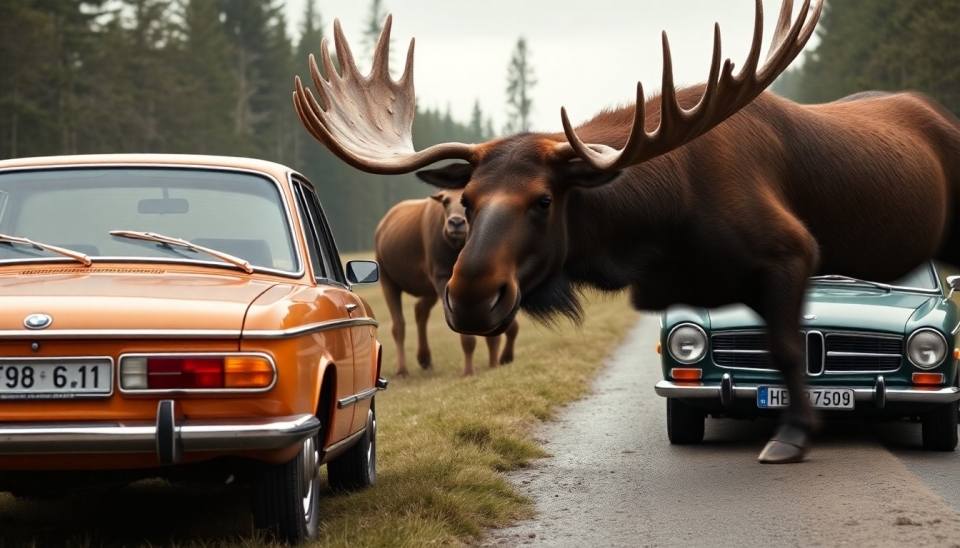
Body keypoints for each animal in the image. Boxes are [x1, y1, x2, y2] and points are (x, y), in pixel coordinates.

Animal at [374, 189, 516, 376]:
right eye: (446, 202)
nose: (456, 222)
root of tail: (381, 227)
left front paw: (496, 363)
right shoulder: (441, 276)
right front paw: (468, 371)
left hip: (428, 288)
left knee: (420, 310)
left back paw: (425, 359)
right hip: (387, 277)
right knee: (399, 324)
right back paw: (402, 369)